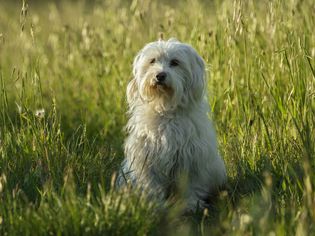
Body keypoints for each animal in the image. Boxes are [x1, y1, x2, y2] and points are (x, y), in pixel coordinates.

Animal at [117, 39, 228, 212]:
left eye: (175, 62)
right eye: (152, 61)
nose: (160, 75)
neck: (166, 109)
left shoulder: (192, 158)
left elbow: (191, 185)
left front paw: (191, 203)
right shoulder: (147, 159)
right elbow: (152, 185)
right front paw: (155, 204)